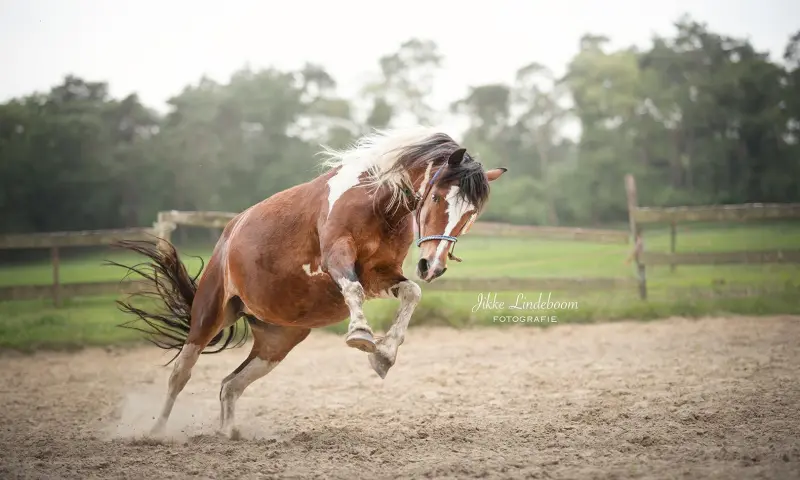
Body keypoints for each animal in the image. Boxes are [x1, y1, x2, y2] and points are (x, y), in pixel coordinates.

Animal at [112, 126, 507, 438]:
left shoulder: (380, 273)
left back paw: (228, 433)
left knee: (230, 385)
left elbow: (412, 292)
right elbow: (353, 289)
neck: (376, 201)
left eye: (471, 214)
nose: (432, 265)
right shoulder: (337, 258)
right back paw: (155, 432)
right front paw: (361, 336)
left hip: (277, 342)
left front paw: (385, 354)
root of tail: (227, 236)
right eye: (438, 197)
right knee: (180, 373)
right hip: (211, 315)